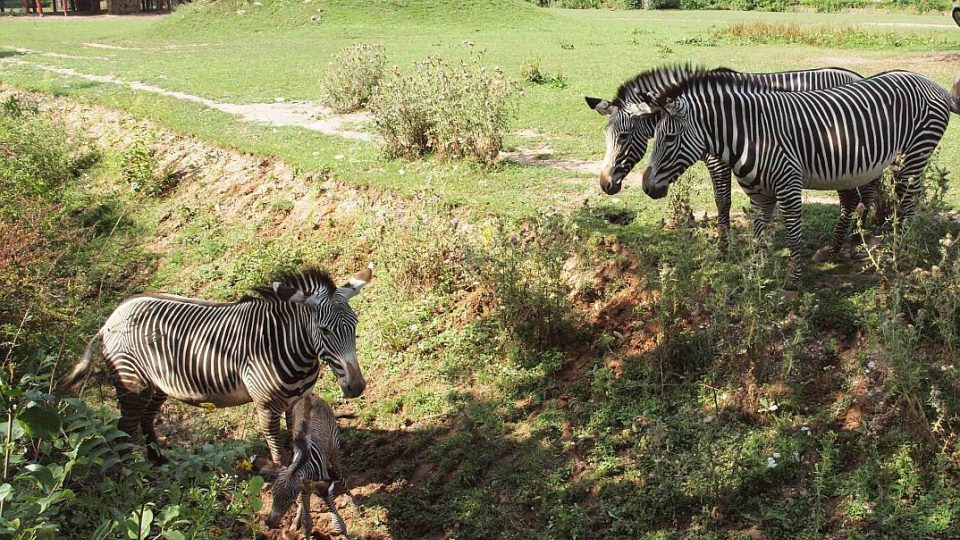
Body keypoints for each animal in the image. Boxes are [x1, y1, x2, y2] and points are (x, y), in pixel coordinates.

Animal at [56, 266, 372, 464]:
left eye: (355, 325)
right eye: (325, 331)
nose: (357, 387)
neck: (286, 344)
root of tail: (111, 317)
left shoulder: (296, 400)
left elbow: (298, 445)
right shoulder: (266, 407)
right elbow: (278, 452)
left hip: (157, 384)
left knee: (145, 419)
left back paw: (158, 461)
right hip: (131, 383)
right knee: (125, 428)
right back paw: (136, 479)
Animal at [258, 394, 352, 536]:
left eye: (290, 500)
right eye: (272, 495)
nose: (270, 524)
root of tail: (311, 395)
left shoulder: (323, 488)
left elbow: (337, 520)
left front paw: (343, 532)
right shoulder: (304, 490)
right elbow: (307, 522)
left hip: (334, 450)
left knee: (341, 474)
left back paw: (354, 502)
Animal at [584, 65, 876, 255]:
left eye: (623, 137)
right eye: (606, 135)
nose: (605, 184)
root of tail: (856, 75)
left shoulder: (719, 161)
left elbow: (722, 201)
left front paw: (722, 246)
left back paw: (853, 241)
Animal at [636, 69, 960, 294]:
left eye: (669, 138)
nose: (647, 187)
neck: (752, 135)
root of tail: (931, 83)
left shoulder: (788, 187)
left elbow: (792, 235)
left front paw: (793, 283)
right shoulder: (759, 196)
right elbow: (757, 239)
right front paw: (753, 278)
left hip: (915, 152)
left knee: (908, 199)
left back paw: (898, 250)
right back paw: (848, 246)